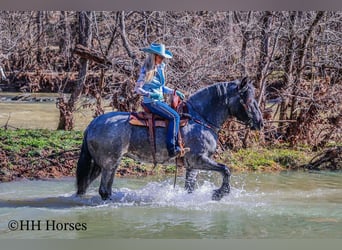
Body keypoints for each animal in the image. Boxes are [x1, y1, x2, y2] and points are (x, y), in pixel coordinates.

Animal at [76, 77, 264, 200]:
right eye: (247, 99)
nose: (260, 122)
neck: (200, 119)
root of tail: (92, 125)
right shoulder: (199, 159)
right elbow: (226, 169)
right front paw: (219, 193)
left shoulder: (192, 166)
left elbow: (190, 188)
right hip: (109, 163)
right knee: (103, 190)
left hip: (103, 164)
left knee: (87, 187)